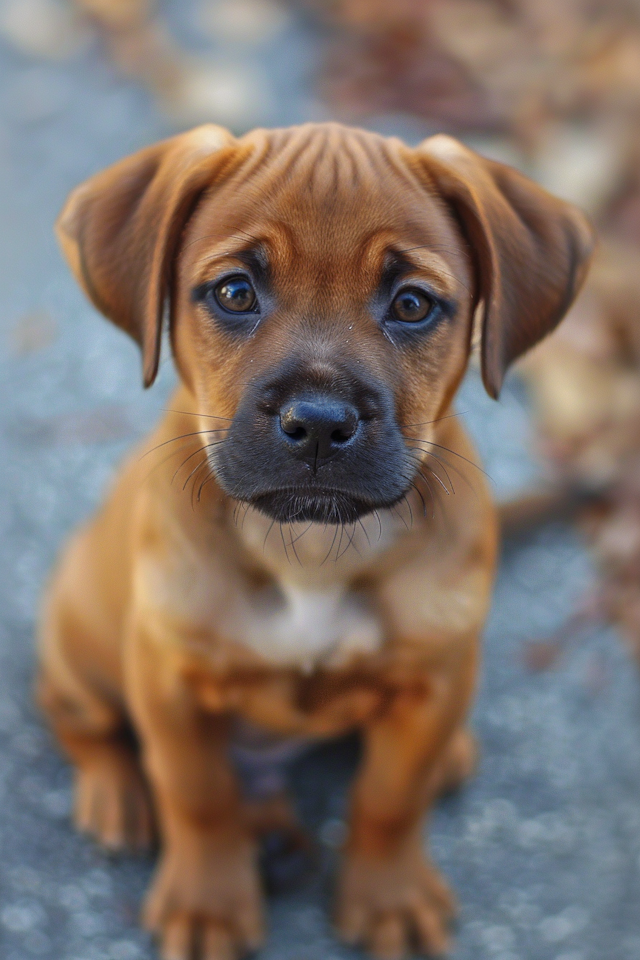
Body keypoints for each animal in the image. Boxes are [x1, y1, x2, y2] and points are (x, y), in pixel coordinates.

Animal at [37, 124, 592, 956]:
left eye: (412, 304)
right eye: (235, 292)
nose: (323, 423)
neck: (310, 550)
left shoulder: (432, 682)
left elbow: (391, 800)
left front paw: (389, 895)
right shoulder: (168, 680)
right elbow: (196, 793)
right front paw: (209, 903)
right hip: (80, 642)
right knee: (79, 717)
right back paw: (118, 793)